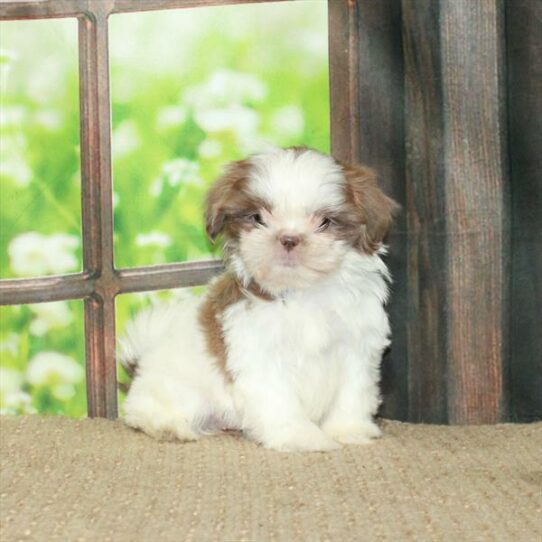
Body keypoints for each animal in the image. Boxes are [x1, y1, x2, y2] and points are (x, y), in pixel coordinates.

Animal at [120, 147, 400, 452]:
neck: (303, 291)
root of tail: (143, 359)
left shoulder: (356, 345)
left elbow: (352, 392)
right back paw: (170, 426)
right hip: (179, 390)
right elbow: (279, 399)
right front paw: (300, 437)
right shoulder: (260, 353)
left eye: (326, 222)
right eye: (257, 218)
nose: (289, 238)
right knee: (144, 410)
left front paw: (348, 430)